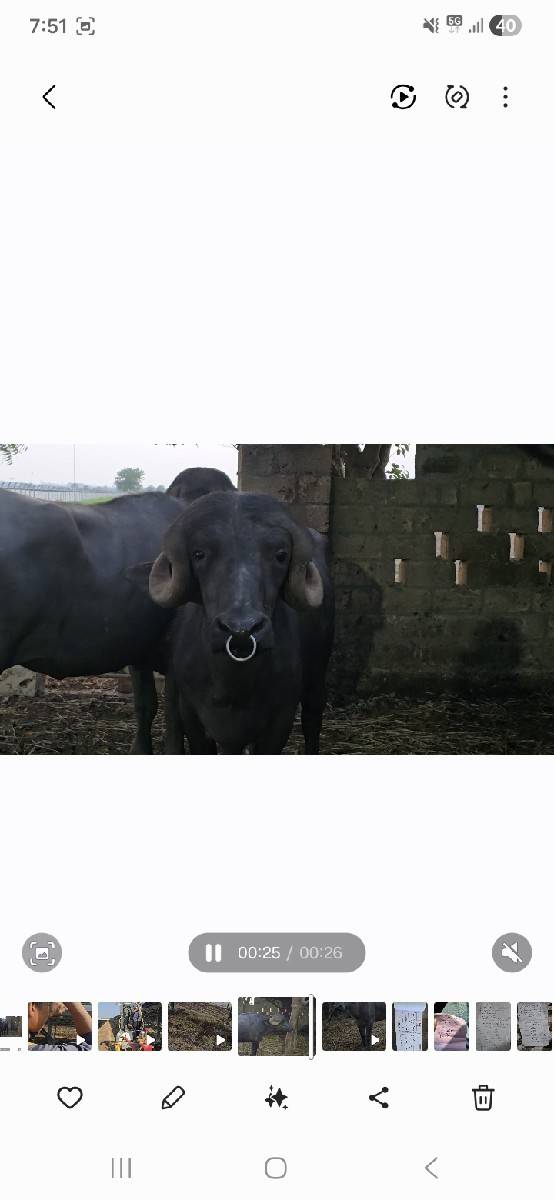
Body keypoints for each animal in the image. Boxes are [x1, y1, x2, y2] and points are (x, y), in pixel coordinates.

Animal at [144, 491, 335, 754]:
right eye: (199, 553)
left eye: (281, 555)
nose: (241, 630)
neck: (232, 684)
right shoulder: (192, 716)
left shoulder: (281, 718)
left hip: (318, 670)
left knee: (312, 715)